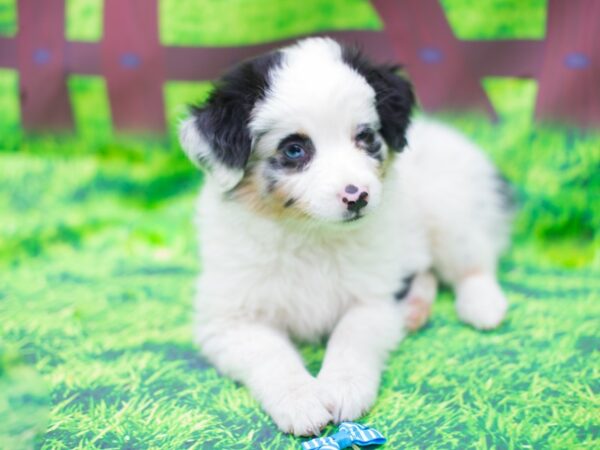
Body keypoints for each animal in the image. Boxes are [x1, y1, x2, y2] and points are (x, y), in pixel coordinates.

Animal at [180, 37, 512, 436]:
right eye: (294, 149)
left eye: (365, 138)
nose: (358, 196)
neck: (310, 236)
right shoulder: (228, 317)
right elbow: (269, 353)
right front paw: (300, 401)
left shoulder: (376, 294)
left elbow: (352, 335)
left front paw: (342, 388)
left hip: (450, 212)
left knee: (474, 260)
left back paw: (483, 305)